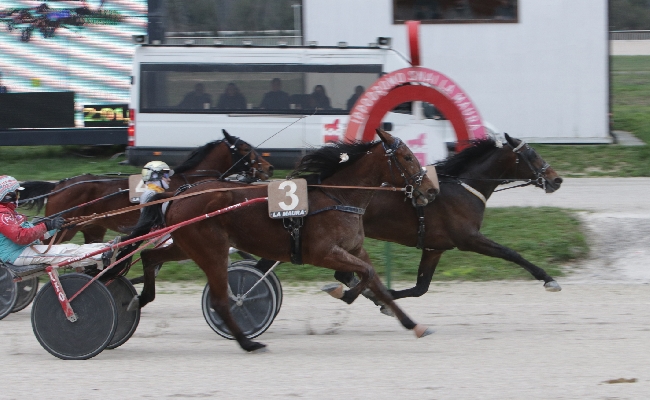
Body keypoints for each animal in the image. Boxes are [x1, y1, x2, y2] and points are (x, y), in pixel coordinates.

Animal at [19, 131, 274, 244]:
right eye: (244, 149)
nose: (269, 167)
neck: (187, 180)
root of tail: (58, 185)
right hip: (62, 228)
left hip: (92, 228)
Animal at [128, 130, 436, 352]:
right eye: (407, 157)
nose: (430, 190)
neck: (338, 198)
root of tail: (180, 193)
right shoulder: (323, 252)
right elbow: (366, 274)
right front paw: (343, 293)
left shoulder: (355, 249)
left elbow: (377, 282)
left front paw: (412, 323)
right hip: (212, 251)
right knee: (220, 300)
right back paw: (248, 342)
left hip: (186, 245)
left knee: (149, 257)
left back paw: (139, 299)